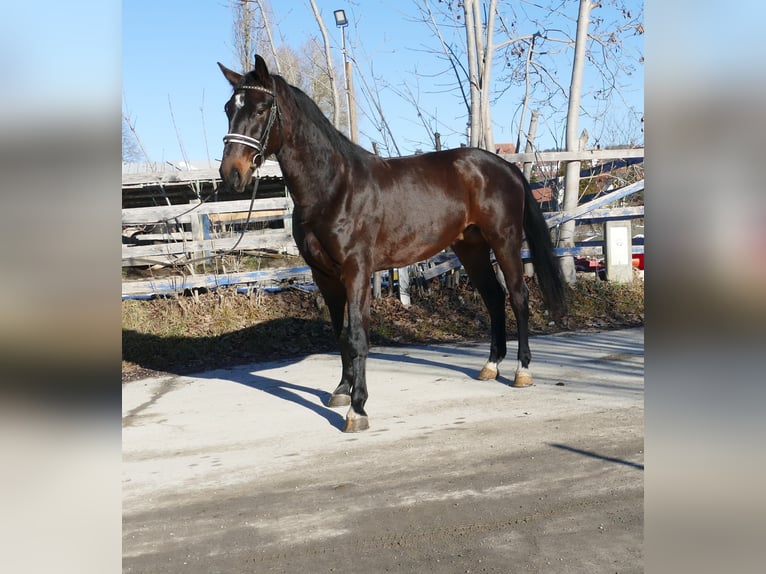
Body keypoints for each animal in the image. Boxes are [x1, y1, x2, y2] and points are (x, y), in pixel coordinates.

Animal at [218, 55, 567, 432]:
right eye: (229, 108)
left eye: (261, 108)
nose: (231, 174)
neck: (333, 187)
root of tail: (505, 166)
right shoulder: (324, 275)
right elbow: (340, 333)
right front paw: (341, 391)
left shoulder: (356, 271)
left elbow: (357, 335)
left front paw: (357, 409)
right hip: (470, 248)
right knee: (493, 297)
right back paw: (491, 366)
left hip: (504, 241)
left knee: (518, 297)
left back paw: (522, 371)